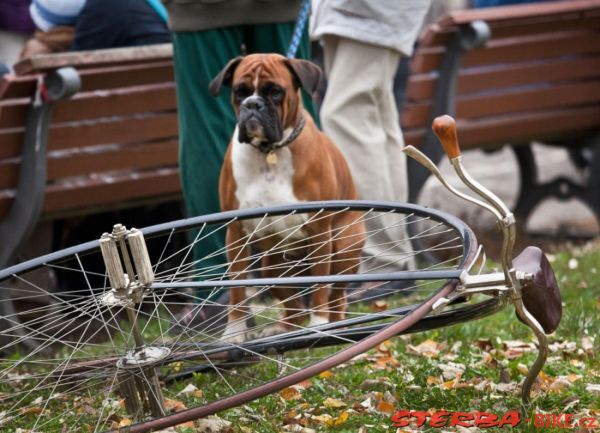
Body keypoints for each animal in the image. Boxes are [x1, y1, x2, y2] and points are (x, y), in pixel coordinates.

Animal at [209, 53, 364, 340]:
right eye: (239, 91)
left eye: (274, 91)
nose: (252, 104)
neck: (269, 151)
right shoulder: (235, 234)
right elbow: (237, 289)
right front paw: (234, 332)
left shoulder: (319, 230)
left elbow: (319, 288)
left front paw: (319, 324)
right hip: (271, 267)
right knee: (295, 308)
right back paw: (281, 329)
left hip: (342, 252)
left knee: (336, 298)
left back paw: (333, 324)